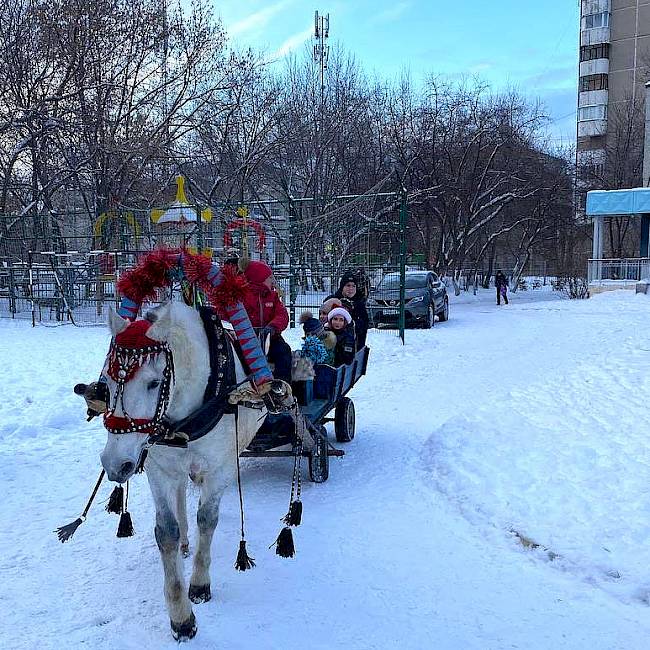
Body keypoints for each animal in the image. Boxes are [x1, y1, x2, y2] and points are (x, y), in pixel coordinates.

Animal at [100, 300, 267, 641]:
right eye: (106, 383)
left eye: (153, 383)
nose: (115, 464)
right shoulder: (157, 467)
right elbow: (166, 531)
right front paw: (180, 616)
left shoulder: (219, 467)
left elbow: (208, 518)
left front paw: (200, 584)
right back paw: (186, 543)